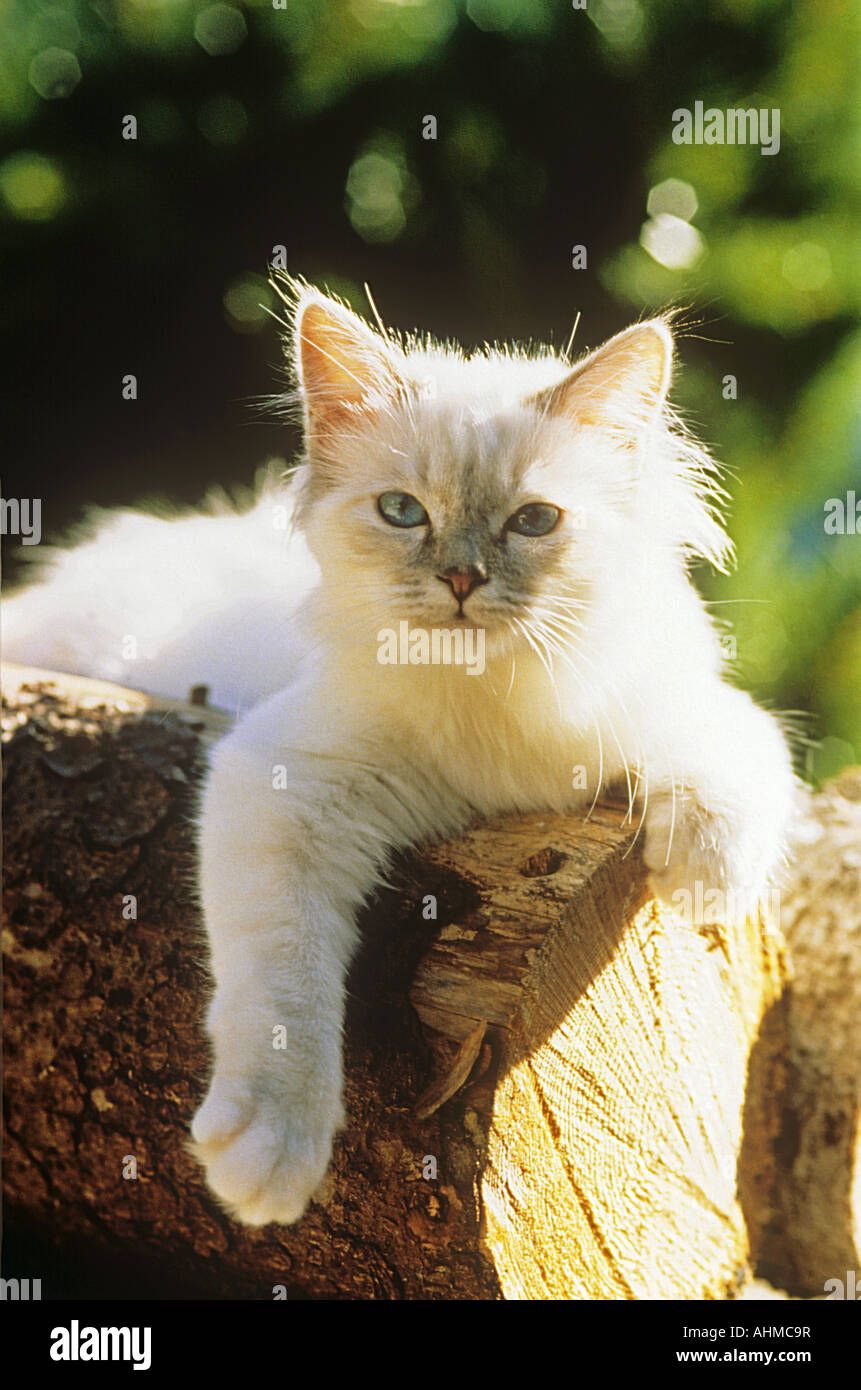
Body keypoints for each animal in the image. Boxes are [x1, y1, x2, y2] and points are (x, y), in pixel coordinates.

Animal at [1, 276, 795, 1223]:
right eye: (402, 512)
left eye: (533, 521)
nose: (459, 579)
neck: (494, 702)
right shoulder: (284, 779)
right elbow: (284, 984)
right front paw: (271, 1154)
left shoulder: (679, 699)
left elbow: (742, 753)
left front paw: (704, 880)